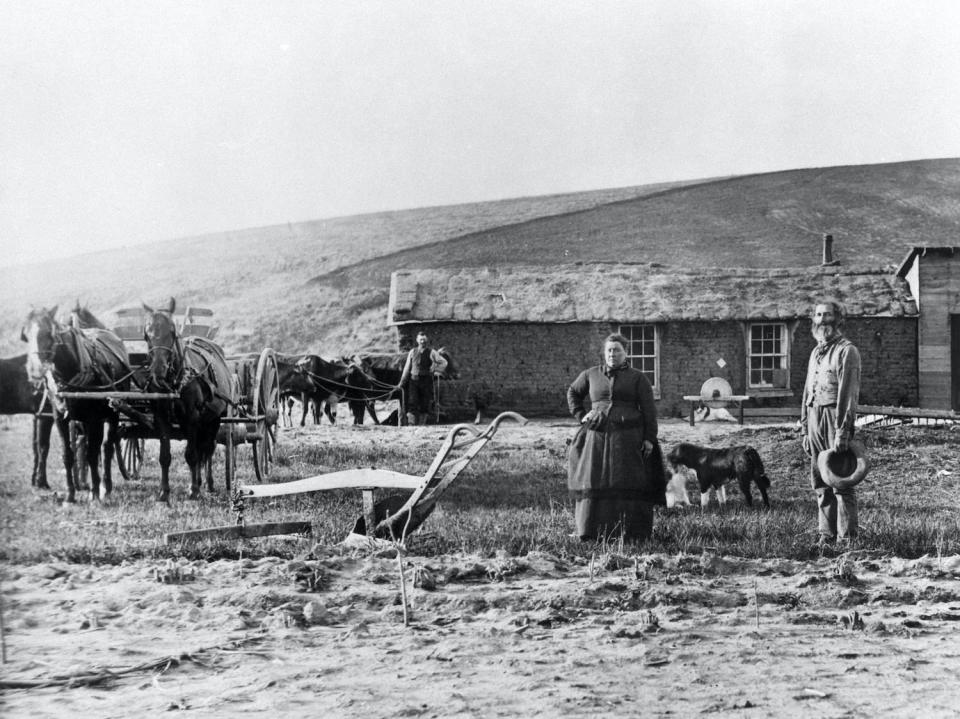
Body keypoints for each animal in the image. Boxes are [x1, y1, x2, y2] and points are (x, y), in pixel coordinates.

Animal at [20, 306, 131, 504]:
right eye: (25, 335)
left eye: (49, 333)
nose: (35, 371)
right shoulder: (60, 418)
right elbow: (68, 454)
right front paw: (70, 495)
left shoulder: (94, 419)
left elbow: (93, 453)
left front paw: (95, 493)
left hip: (113, 413)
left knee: (107, 447)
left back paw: (105, 486)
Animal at [142, 298, 232, 500]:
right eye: (146, 335)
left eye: (172, 332)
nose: (158, 370)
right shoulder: (161, 418)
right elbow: (165, 456)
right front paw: (164, 491)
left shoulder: (192, 417)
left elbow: (191, 454)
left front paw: (193, 490)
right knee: (201, 449)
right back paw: (198, 480)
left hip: (214, 418)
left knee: (208, 448)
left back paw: (208, 483)